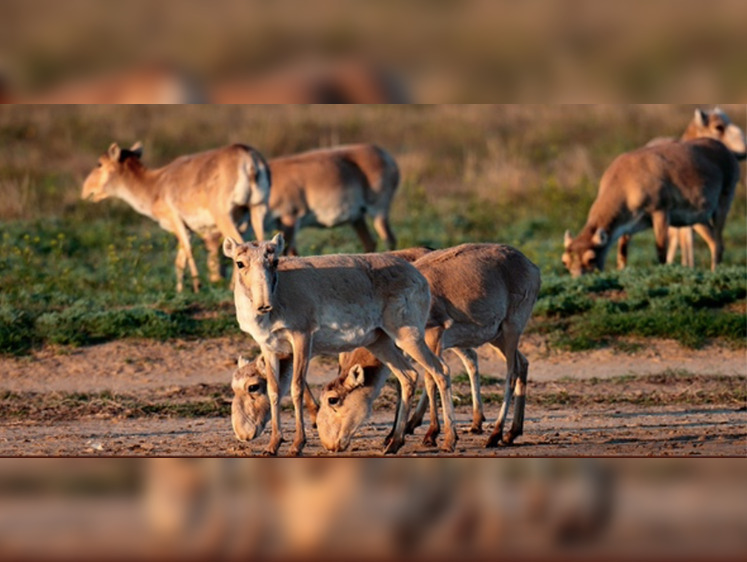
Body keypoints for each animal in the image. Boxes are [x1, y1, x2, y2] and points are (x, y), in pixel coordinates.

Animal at [82, 140, 272, 290]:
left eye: (99, 164)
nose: (84, 192)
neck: (155, 185)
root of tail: (249, 159)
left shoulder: (176, 221)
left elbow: (187, 250)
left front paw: (196, 285)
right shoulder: (189, 228)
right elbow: (179, 260)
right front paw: (180, 290)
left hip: (223, 216)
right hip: (258, 209)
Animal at [266, 145, 400, 258]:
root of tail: (385, 155)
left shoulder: (291, 219)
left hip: (378, 213)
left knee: (389, 239)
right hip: (357, 219)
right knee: (370, 242)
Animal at [318, 243, 544, 452]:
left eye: (333, 399)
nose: (330, 445)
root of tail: (532, 266)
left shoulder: (432, 335)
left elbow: (430, 378)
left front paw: (431, 433)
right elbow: (409, 381)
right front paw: (396, 434)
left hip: (511, 328)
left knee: (511, 373)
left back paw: (495, 434)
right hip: (496, 336)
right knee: (522, 362)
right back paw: (511, 432)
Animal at [564, 106, 744, 276]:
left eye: (591, 258)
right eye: (565, 262)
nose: (578, 278)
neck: (624, 179)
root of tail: (724, 150)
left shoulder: (660, 213)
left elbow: (661, 252)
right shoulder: (627, 228)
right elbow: (622, 255)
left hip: (722, 204)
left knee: (719, 243)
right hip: (697, 218)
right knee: (713, 241)